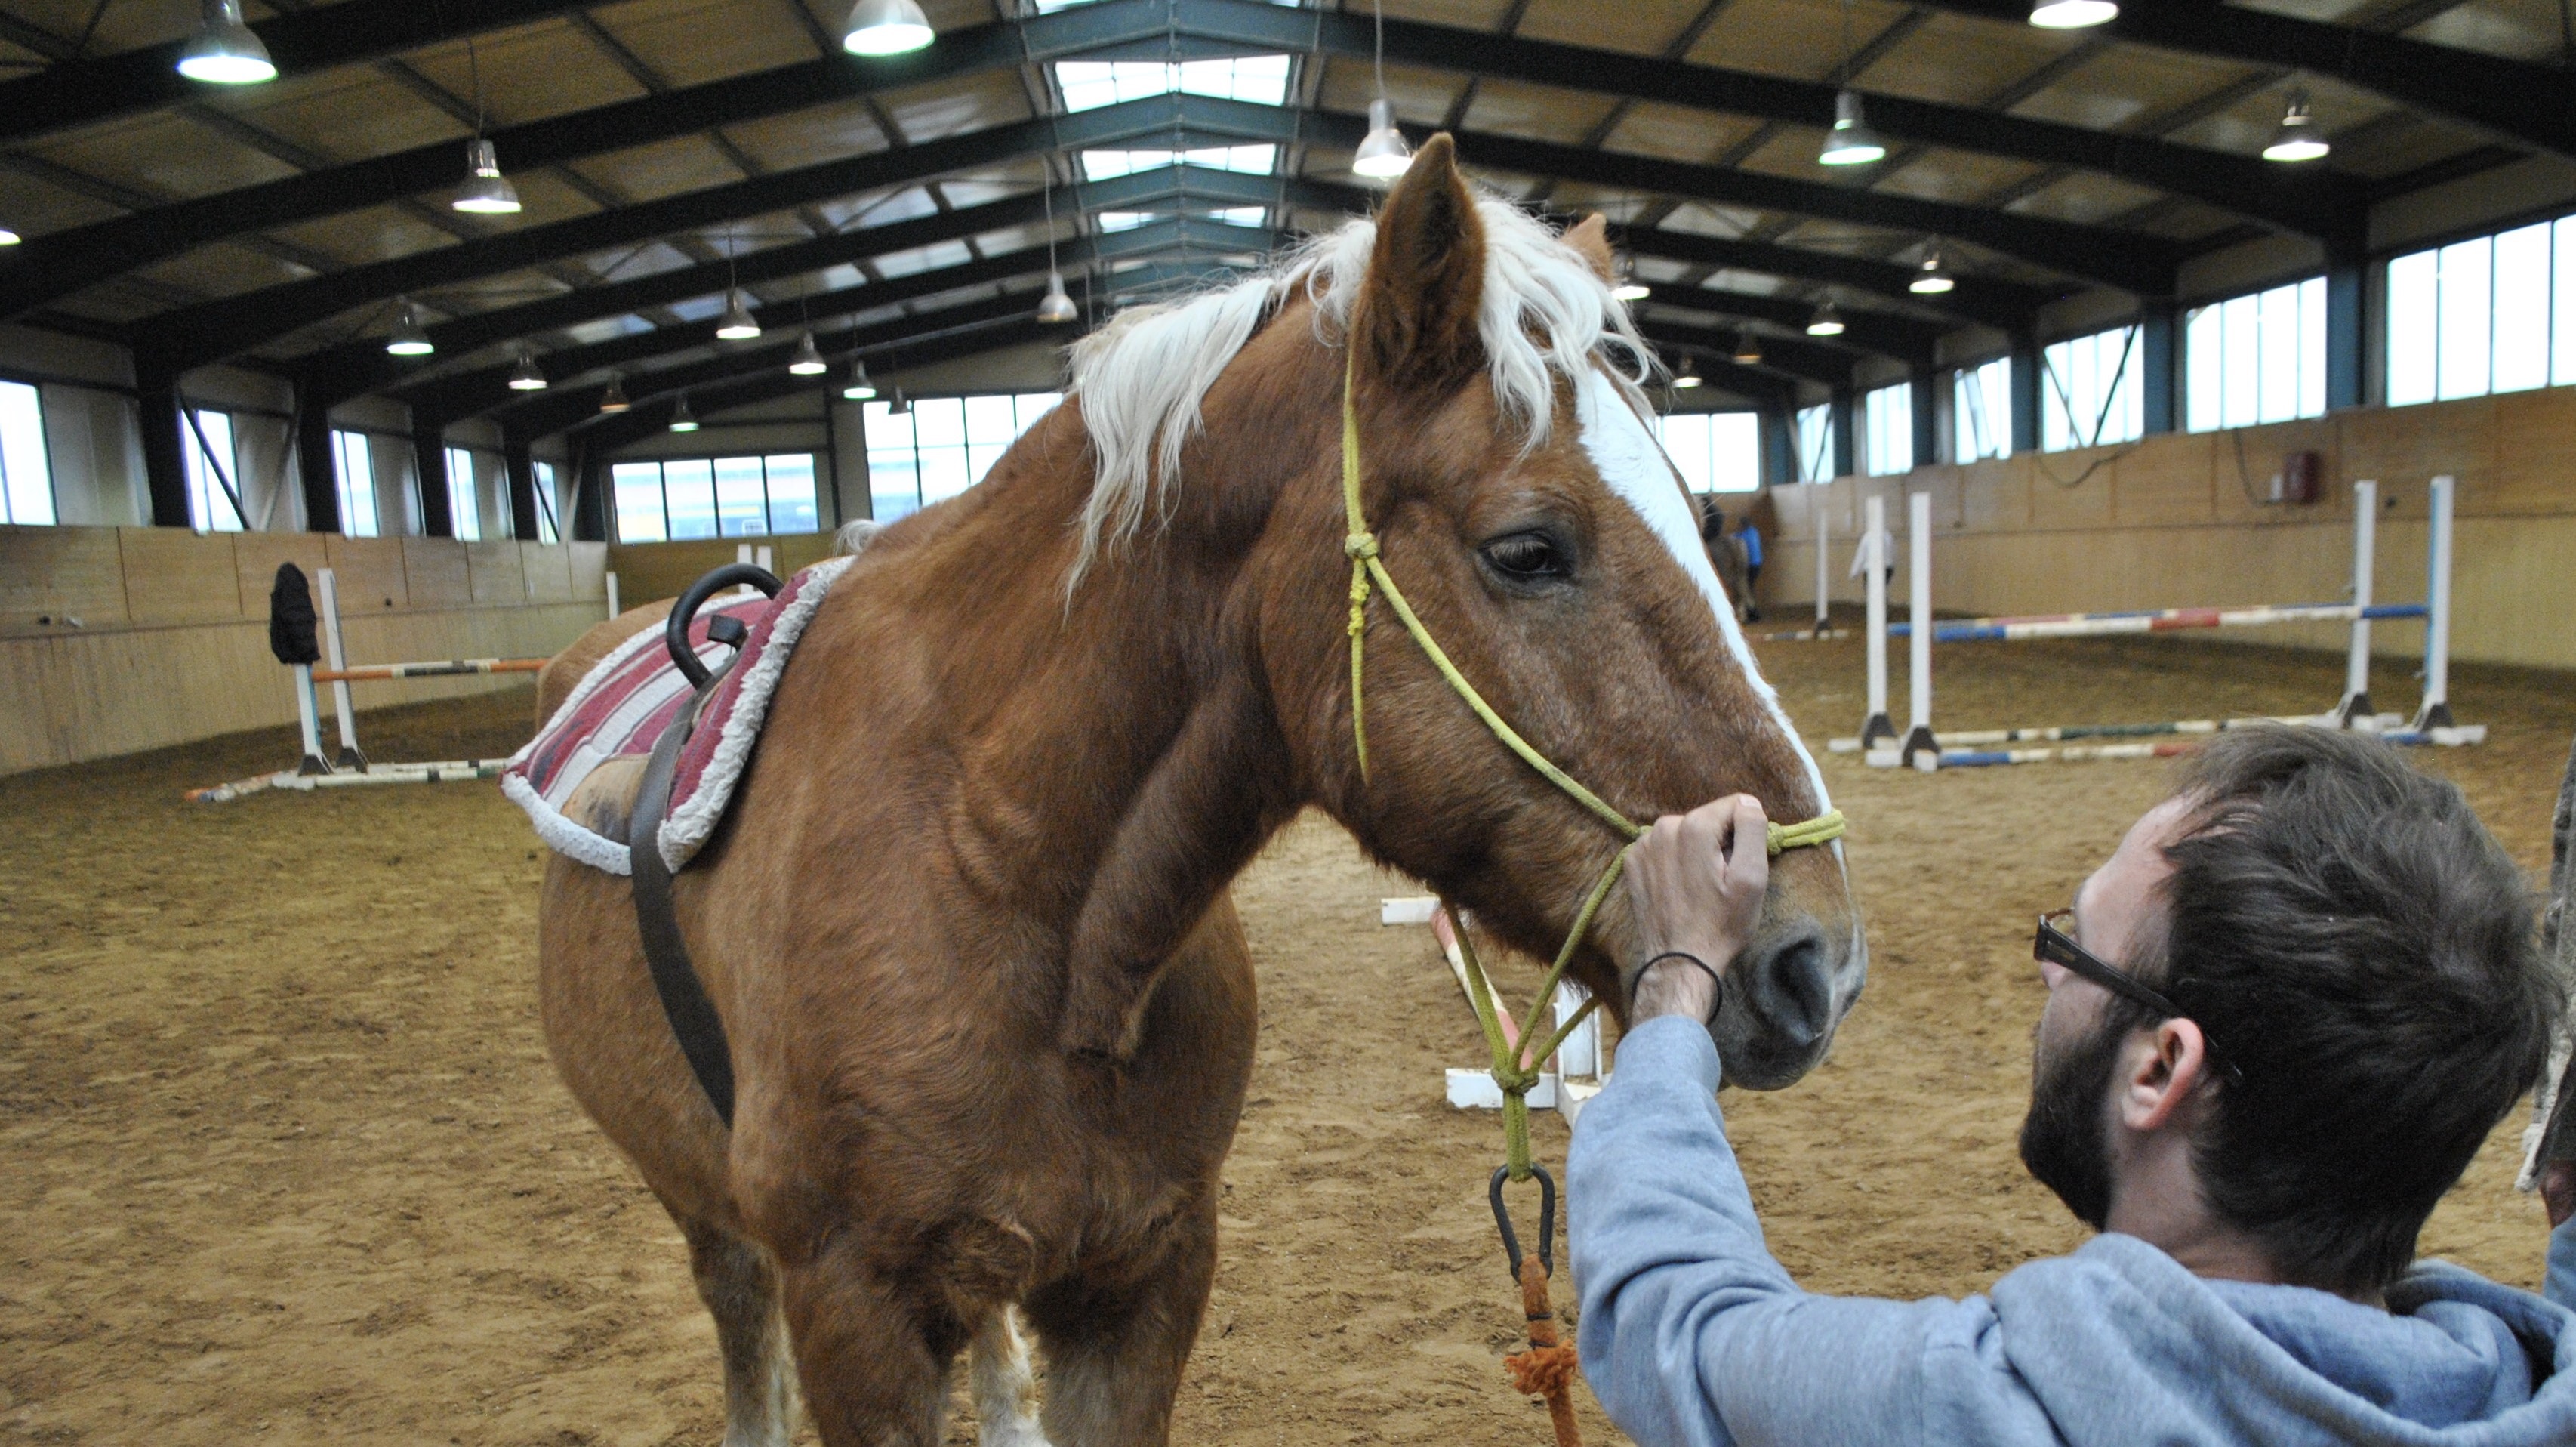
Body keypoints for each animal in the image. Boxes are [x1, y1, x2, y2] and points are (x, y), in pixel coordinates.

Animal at [533, 137, 1865, 1442]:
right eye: (1528, 549)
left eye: (1701, 520)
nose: (1820, 962)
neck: (992, 875)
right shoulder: (853, 1315)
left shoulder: (1145, 1278)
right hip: (706, 1214)